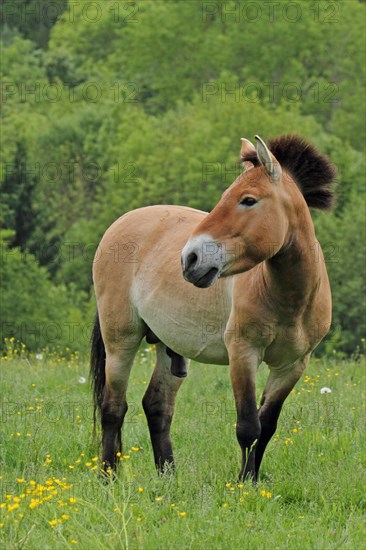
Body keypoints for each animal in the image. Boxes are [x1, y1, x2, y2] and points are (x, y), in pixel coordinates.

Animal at [90, 135, 336, 484]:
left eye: (248, 200)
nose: (190, 259)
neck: (289, 300)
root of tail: (120, 224)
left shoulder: (292, 366)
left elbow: (267, 426)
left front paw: (253, 480)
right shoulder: (243, 355)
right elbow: (248, 426)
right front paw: (243, 485)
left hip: (169, 348)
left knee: (157, 406)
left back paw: (169, 477)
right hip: (120, 340)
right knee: (113, 407)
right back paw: (108, 476)